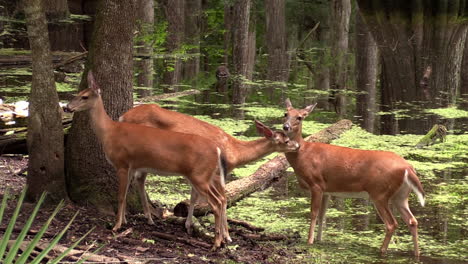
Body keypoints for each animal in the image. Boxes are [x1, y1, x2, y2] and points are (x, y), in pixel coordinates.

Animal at [65, 70, 233, 248]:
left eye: (85, 97)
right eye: (77, 93)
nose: (67, 107)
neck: (109, 132)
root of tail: (217, 149)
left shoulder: (122, 163)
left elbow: (120, 196)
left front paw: (117, 226)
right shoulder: (132, 166)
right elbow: (126, 194)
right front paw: (124, 221)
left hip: (199, 176)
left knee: (216, 203)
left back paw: (216, 242)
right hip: (205, 176)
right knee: (221, 199)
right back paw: (222, 239)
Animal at [118, 101, 300, 235]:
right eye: (285, 141)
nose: (297, 145)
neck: (234, 151)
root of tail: (122, 117)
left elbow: (194, 197)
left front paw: (189, 225)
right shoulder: (219, 171)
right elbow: (223, 199)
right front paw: (226, 235)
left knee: (136, 178)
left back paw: (141, 218)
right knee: (134, 177)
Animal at [280, 98, 426, 256]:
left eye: (300, 117)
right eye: (285, 114)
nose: (286, 127)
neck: (303, 154)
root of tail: (407, 167)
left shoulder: (316, 184)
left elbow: (313, 213)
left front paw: (310, 241)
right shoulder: (327, 190)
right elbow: (323, 215)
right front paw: (319, 239)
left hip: (379, 192)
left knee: (392, 223)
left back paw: (381, 250)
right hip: (400, 195)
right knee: (412, 221)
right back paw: (417, 254)